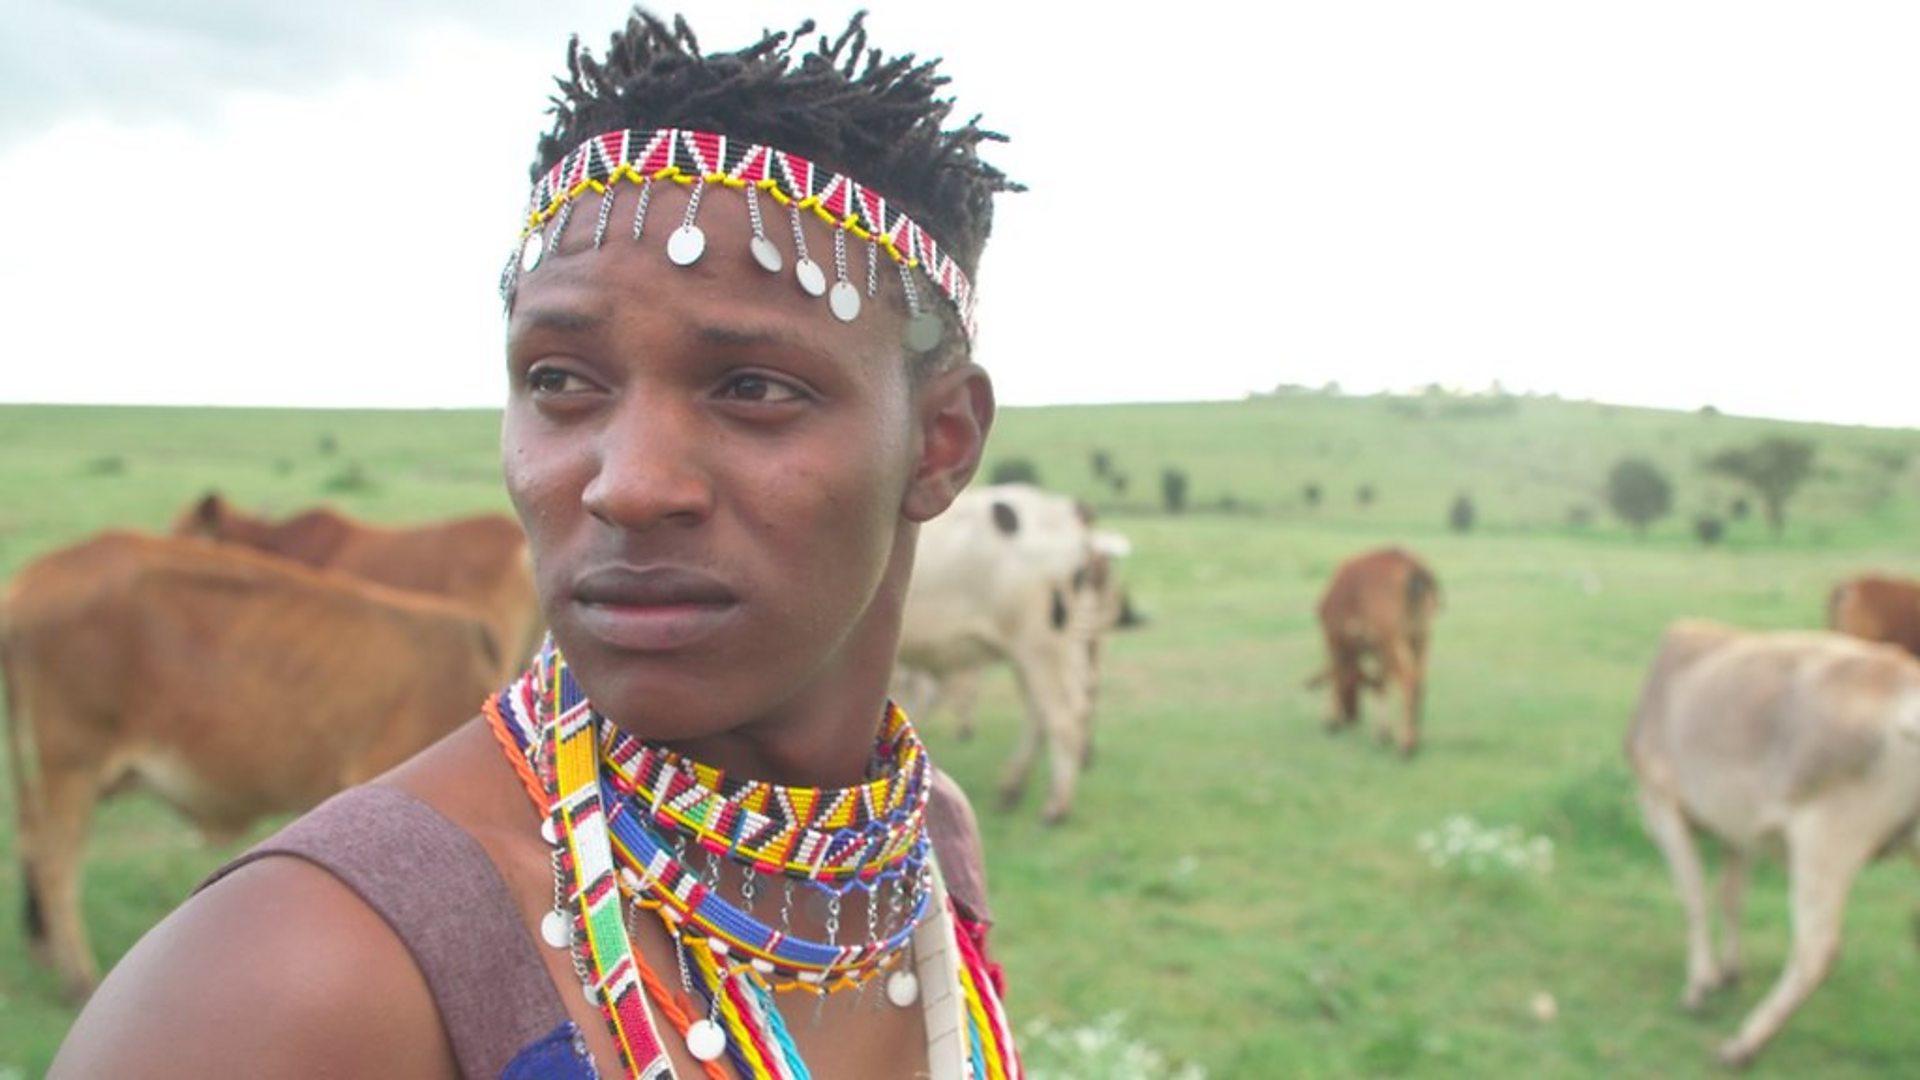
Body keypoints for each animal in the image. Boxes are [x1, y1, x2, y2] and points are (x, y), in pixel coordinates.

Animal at [894, 484, 1128, 818]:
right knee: (1043, 713)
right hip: (1037, 651)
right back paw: (1012, 789)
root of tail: (1065, 510)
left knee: (1063, 716)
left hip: (1043, 645)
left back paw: (1055, 808)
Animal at [1320, 541, 1443, 753]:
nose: (1352, 716)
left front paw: (1332, 721)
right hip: (1421, 637)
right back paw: (1416, 737)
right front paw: (1383, 733)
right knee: (1420, 680)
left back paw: (1406, 746)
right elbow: (1380, 683)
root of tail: (1413, 565)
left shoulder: (1333, 637)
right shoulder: (1378, 649)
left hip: (1393, 639)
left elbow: (1336, 675)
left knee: (1408, 679)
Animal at [1628, 618, 1920, 1060]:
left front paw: (1699, 986)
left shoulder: (1664, 806)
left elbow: (1693, 897)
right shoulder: (1736, 827)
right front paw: (1729, 972)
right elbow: (1730, 896)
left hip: (1825, 840)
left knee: (1815, 950)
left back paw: (1745, 1045)